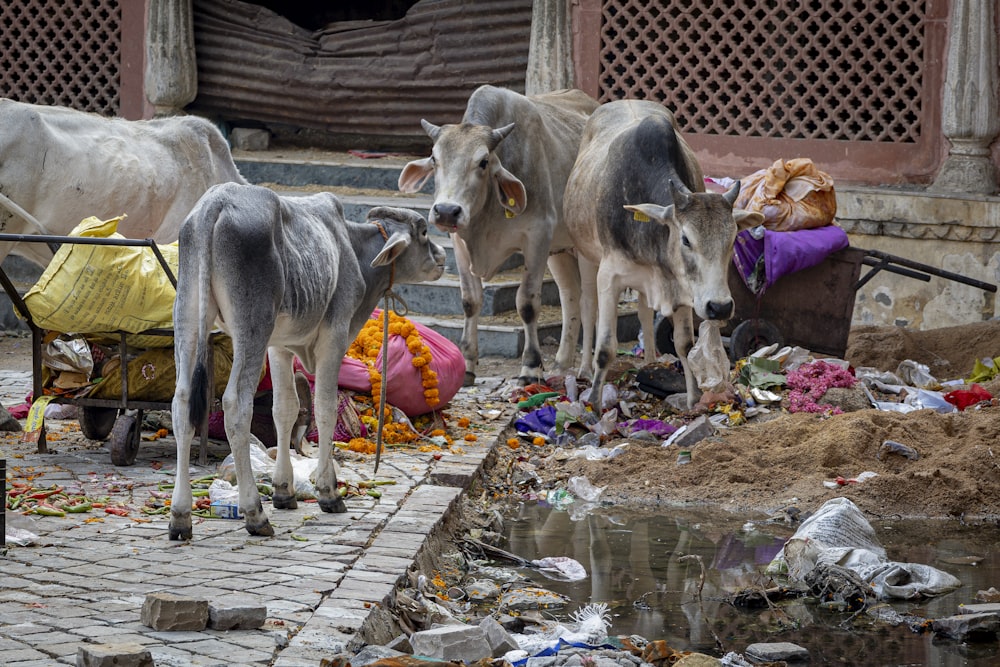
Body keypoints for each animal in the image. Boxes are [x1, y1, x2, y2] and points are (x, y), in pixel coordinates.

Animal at [171, 184, 446, 544]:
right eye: (424, 232)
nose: (442, 257)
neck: (353, 249)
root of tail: (216, 201)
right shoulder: (335, 335)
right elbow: (324, 409)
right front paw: (329, 492)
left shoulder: (279, 346)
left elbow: (285, 410)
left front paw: (283, 490)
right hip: (252, 328)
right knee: (235, 405)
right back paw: (255, 513)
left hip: (187, 317)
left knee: (182, 403)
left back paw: (180, 516)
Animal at [400, 85, 600, 386]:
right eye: (435, 159)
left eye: (483, 162)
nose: (447, 211)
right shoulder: (460, 244)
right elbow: (470, 301)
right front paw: (468, 365)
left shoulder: (537, 237)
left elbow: (527, 303)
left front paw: (531, 367)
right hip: (559, 250)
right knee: (570, 296)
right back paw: (561, 365)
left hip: (586, 249)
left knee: (589, 301)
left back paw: (585, 370)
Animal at [564, 100, 764, 408]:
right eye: (686, 239)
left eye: (732, 240)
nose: (719, 307)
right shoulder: (609, 276)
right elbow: (606, 347)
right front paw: (594, 404)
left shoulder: (680, 286)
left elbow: (684, 344)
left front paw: (694, 400)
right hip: (586, 255)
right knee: (587, 306)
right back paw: (585, 370)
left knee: (645, 313)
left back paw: (649, 361)